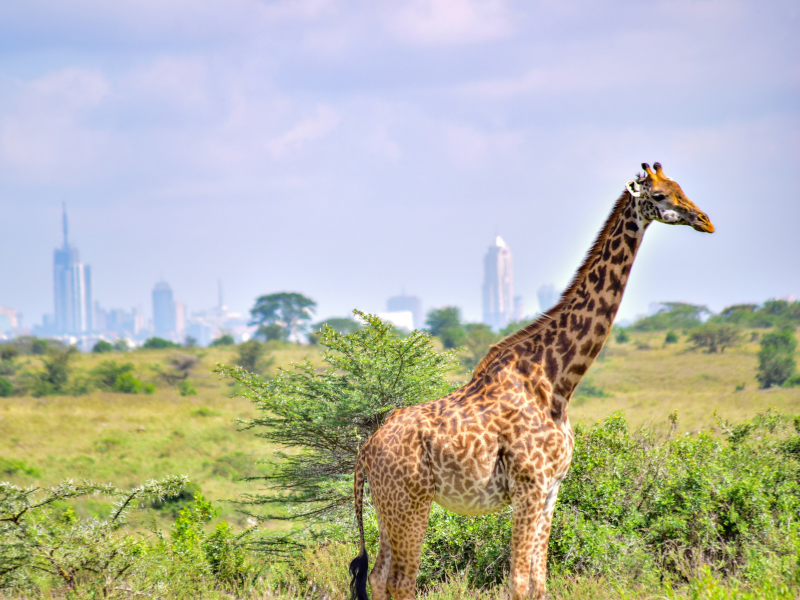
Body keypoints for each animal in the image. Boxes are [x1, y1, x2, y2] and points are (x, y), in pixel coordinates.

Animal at [348, 163, 714, 600]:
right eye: (659, 196)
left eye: (680, 187)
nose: (705, 220)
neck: (557, 380)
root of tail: (367, 450)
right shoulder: (530, 485)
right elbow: (519, 583)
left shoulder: (551, 488)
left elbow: (539, 582)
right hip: (411, 501)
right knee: (401, 581)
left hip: (387, 507)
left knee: (378, 576)